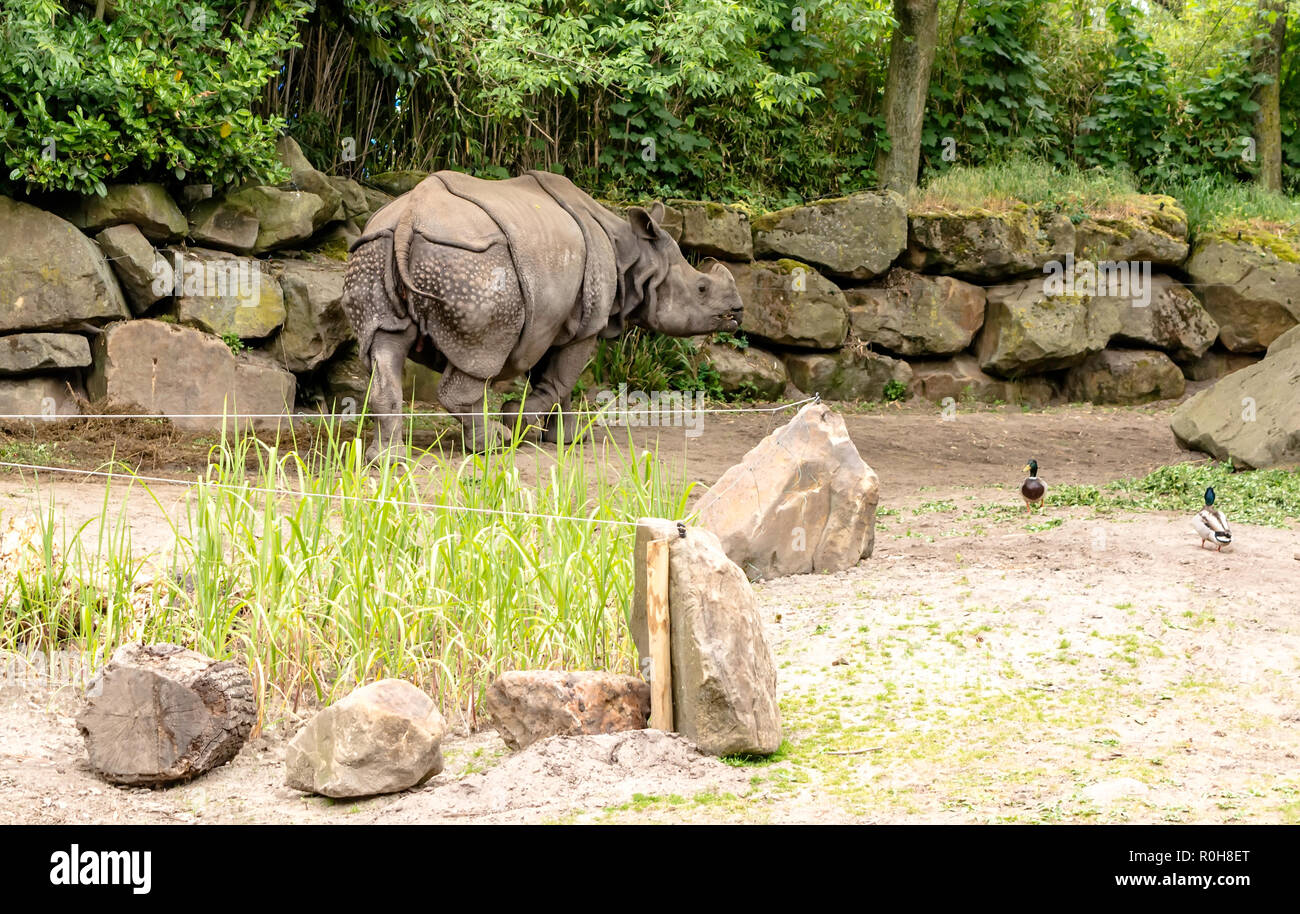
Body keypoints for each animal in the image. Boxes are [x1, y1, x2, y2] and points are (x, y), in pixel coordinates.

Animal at [341, 170, 743, 454]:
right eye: (702, 289)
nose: (737, 312)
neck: (634, 258)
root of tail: (408, 218)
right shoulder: (586, 324)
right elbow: (560, 379)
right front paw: (518, 421)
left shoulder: (554, 319)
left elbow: (558, 383)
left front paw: (568, 439)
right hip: (475, 263)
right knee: (481, 357)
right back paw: (494, 444)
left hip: (374, 248)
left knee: (386, 345)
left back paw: (388, 458)